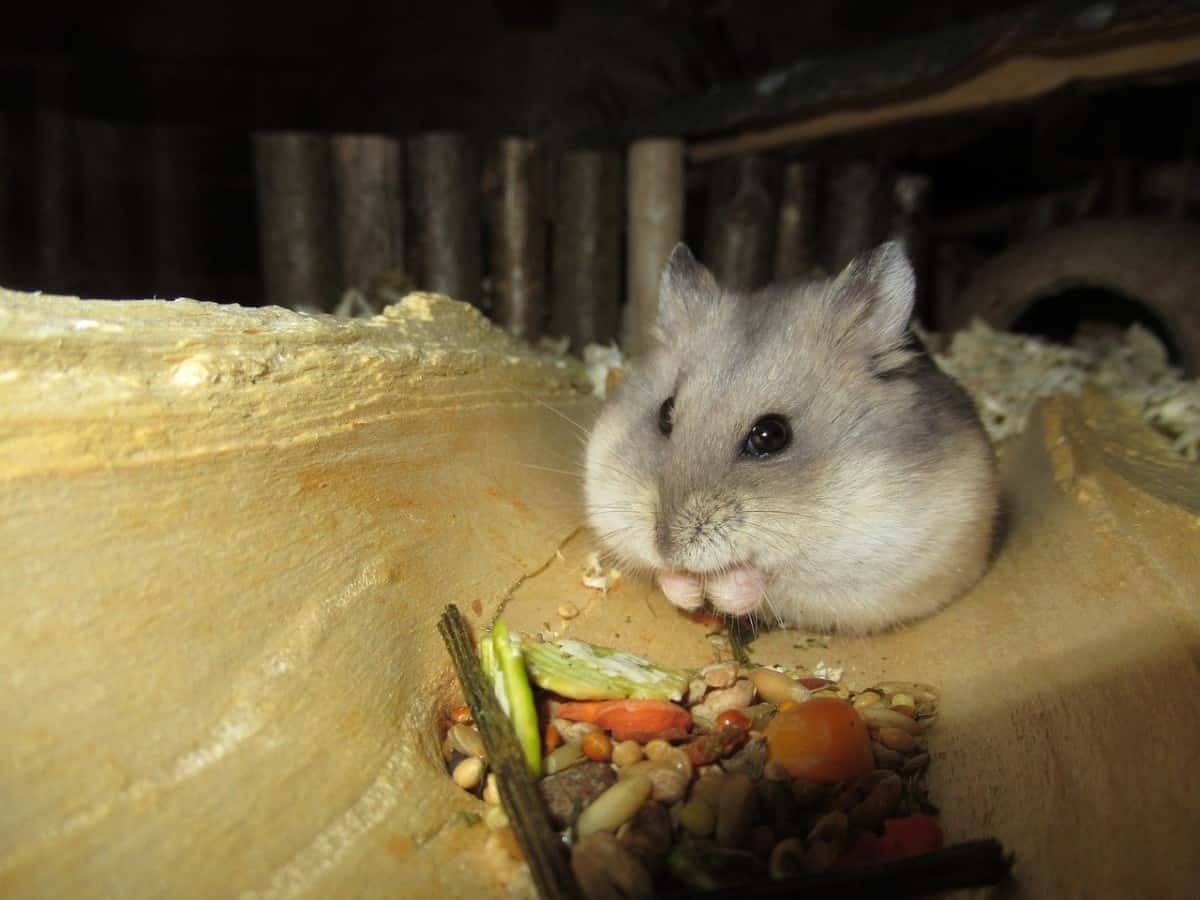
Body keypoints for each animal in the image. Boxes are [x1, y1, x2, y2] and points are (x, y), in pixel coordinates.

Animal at [584, 241, 1000, 634]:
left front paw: (718, 587)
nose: (666, 546)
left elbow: (764, 578)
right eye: (665, 413)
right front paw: (687, 587)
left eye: (770, 436)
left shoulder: (865, 560)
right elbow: (665, 578)